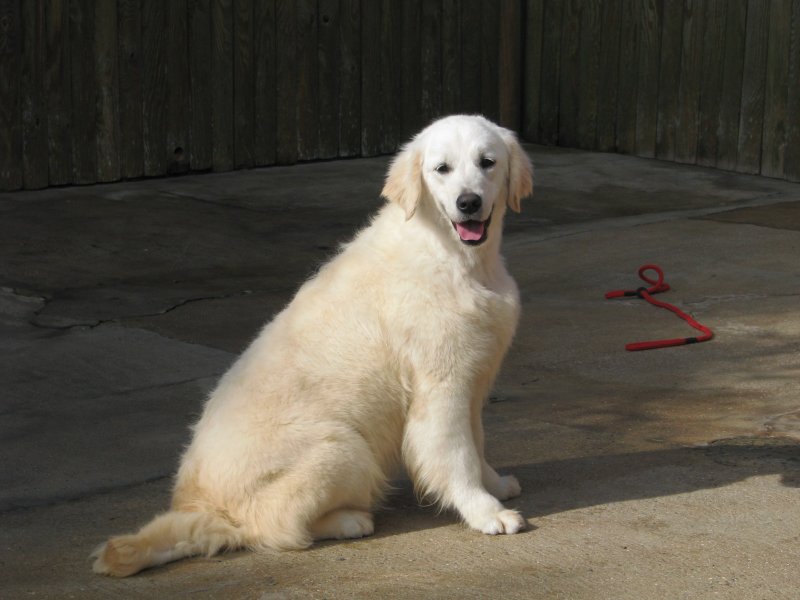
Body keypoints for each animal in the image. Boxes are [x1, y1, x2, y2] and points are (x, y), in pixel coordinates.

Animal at [92, 113, 532, 576]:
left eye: (487, 162)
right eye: (441, 169)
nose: (469, 203)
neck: (454, 257)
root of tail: (204, 508)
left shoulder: (473, 377)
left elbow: (476, 443)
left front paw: (495, 484)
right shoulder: (441, 387)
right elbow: (457, 454)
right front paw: (485, 512)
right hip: (344, 448)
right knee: (272, 528)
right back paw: (349, 521)